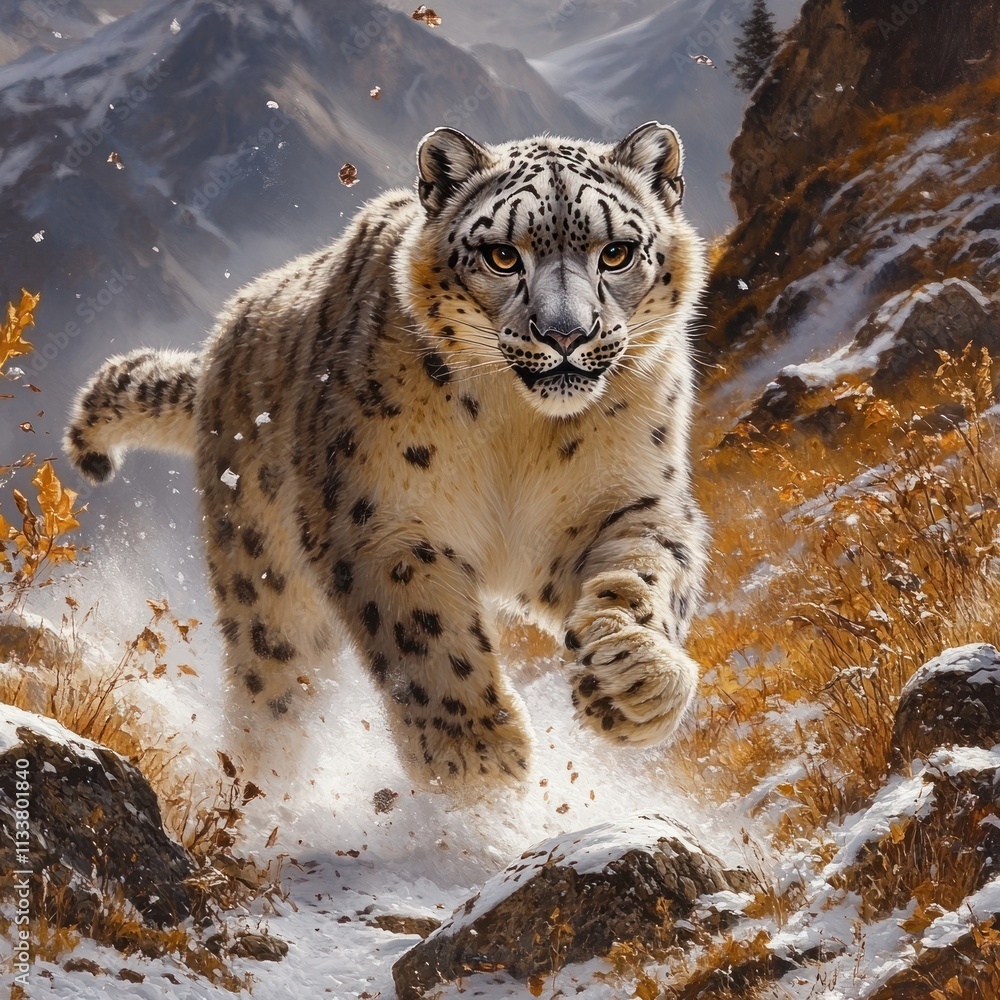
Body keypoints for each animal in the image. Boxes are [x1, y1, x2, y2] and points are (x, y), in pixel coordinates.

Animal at [64, 122, 709, 796]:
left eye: (617, 253)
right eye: (503, 256)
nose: (566, 334)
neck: (520, 429)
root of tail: (221, 342)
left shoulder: (627, 501)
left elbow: (648, 572)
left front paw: (635, 680)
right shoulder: (376, 520)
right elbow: (425, 637)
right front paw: (475, 758)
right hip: (269, 583)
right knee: (273, 692)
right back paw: (261, 793)